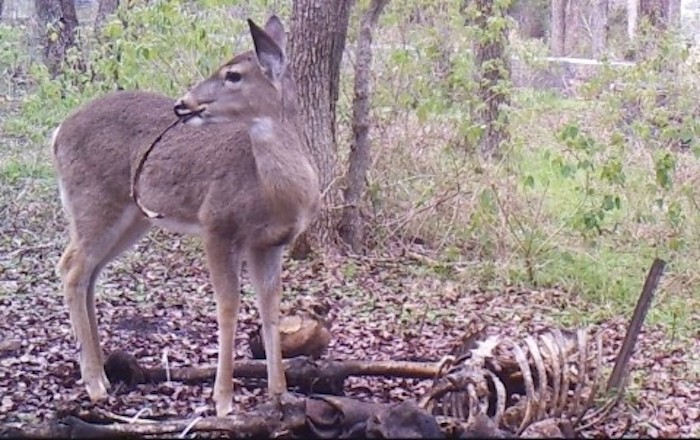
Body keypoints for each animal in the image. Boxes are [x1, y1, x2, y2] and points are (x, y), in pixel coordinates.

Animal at [51, 15, 320, 417]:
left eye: (233, 74)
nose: (184, 103)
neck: (275, 192)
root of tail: (56, 133)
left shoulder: (269, 244)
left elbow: (270, 309)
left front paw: (280, 394)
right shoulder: (217, 224)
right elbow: (228, 306)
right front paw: (223, 401)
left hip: (133, 217)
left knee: (89, 272)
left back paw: (104, 371)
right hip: (93, 200)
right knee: (71, 267)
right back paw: (95, 383)